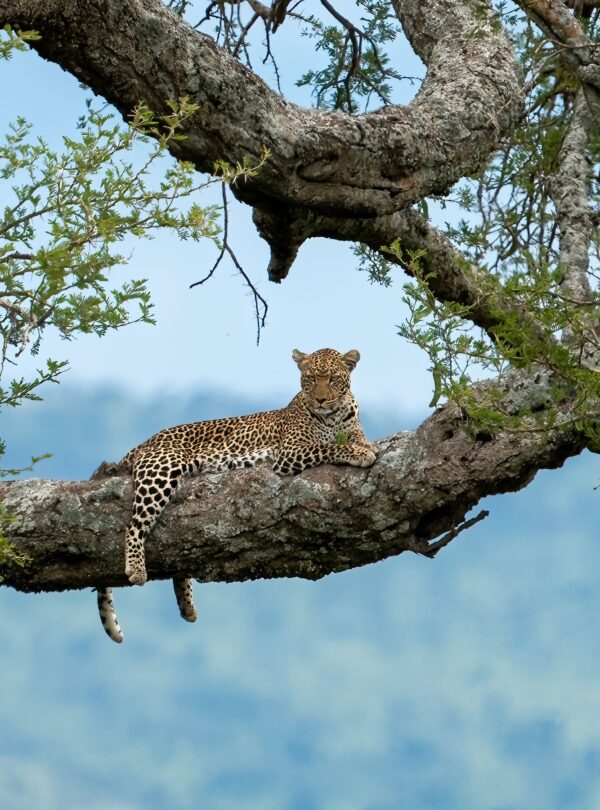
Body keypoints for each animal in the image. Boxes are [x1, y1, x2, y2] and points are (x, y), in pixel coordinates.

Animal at [95, 348, 376, 643]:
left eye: (333, 379)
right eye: (310, 379)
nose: (320, 400)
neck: (334, 415)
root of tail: (146, 442)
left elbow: (355, 439)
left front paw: (364, 446)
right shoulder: (290, 452)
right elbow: (329, 447)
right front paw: (360, 453)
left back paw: (187, 606)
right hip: (163, 468)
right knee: (134, 525)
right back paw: (137, 569)